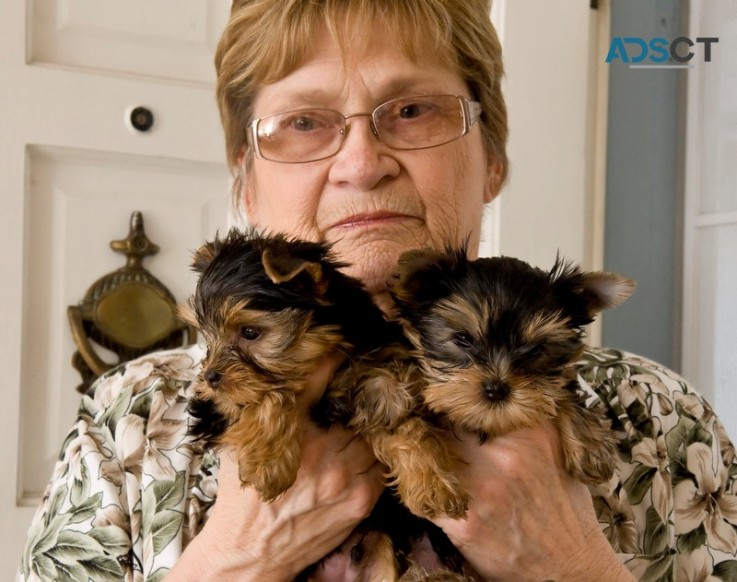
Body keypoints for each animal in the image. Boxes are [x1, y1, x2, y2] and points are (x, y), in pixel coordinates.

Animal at [388, 248, 636, 488]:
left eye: (535, 350)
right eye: (463, 339)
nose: (496, 389)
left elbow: (560, 392)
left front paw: (591, 449)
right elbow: (404, 422)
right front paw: (431, 482)